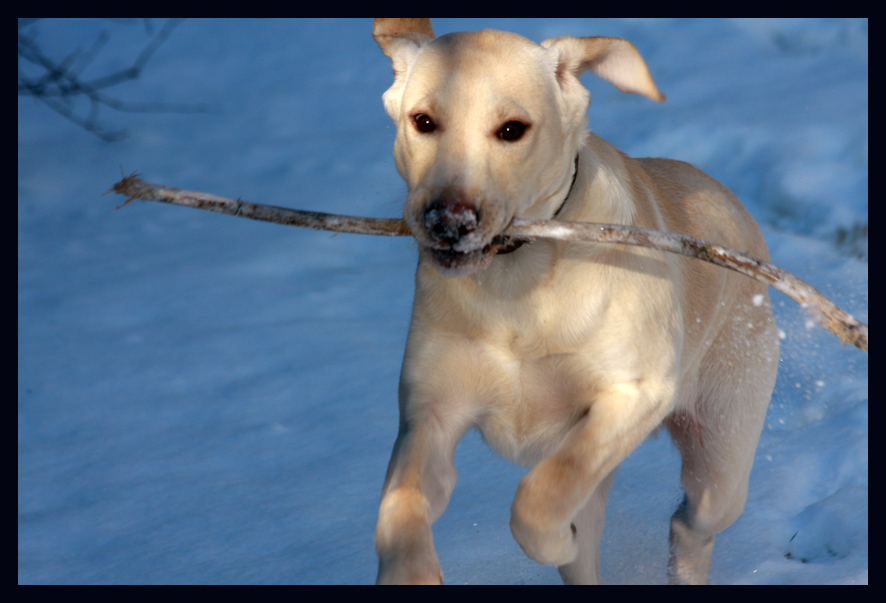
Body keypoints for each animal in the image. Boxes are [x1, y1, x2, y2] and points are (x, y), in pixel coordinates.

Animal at [372, 18, 780, 584]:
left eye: (512, 130)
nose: (448, 222)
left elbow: (540, 496)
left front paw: (551, 540)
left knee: (691, 522)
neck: (516, 285)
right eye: (423, 121)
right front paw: (409, 571)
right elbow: (400, 503)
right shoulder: (429, 414)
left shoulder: (635, 393)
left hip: (720, 451)